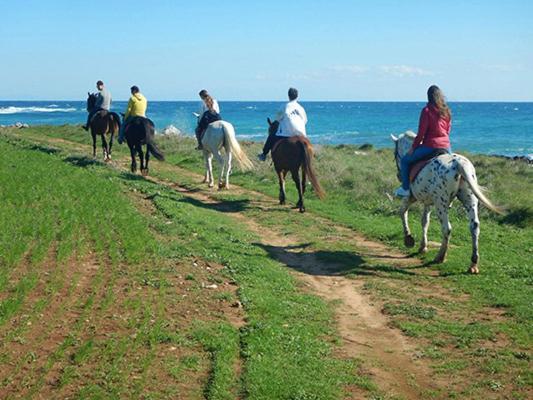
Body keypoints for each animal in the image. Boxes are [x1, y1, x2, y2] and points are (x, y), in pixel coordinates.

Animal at [388, 131, 500, 276]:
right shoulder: (428, 202)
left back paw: (440, 256)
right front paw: (422, 246)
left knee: (447, 228)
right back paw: (473, 264)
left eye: (395, 153)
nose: (399, 175)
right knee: (474, 226)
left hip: (441, 204)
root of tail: (458, 163)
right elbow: (425, 221)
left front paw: (408, 239)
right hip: (469, 199)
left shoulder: (411, 197)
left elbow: (402, 212)